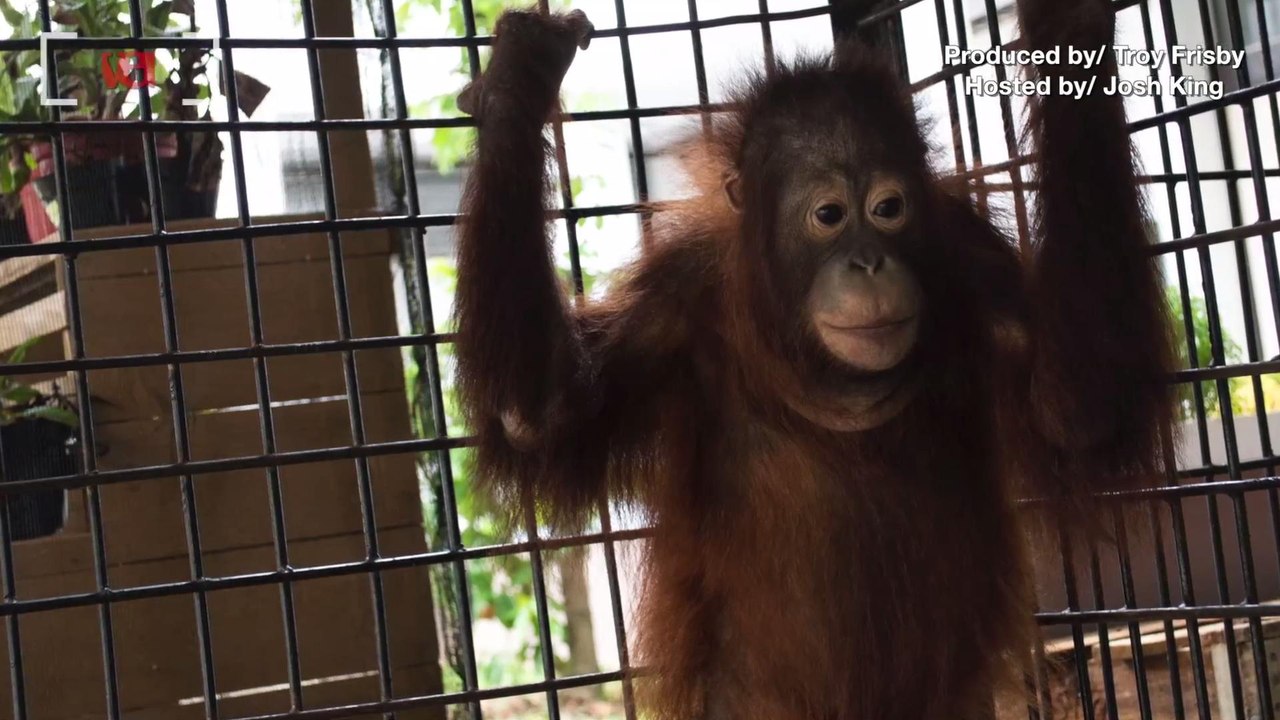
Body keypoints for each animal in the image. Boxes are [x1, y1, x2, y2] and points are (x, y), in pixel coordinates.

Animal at [450, 1, 1176, 718]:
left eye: (889, 209)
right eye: (828, 215)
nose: (869, 262)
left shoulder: (973, 268)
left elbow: (1078, 408)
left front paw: (1070, 28)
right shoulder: (672, 303)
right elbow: (538, 415)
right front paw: (519, 84)